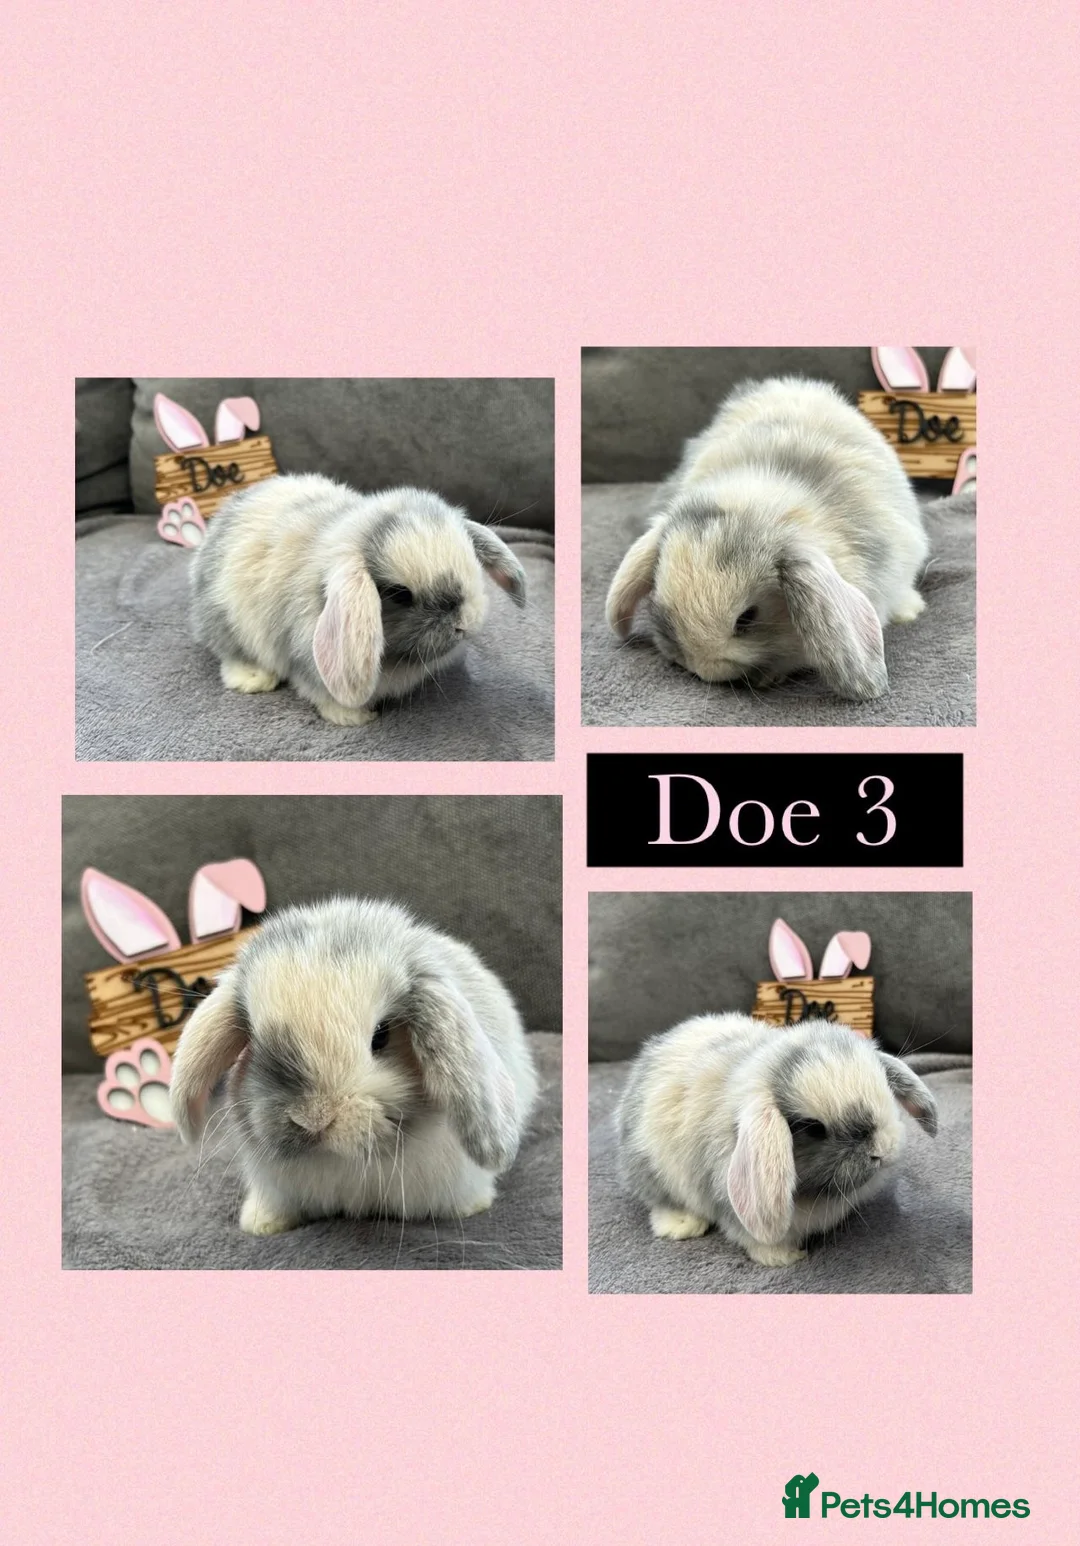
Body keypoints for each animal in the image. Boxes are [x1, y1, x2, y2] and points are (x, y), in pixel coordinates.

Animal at [189, 473, 526, 725]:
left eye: (471, 560)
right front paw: (356, 717)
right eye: (399, 594)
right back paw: (252, 678)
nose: (465, 624)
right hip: (226, 623)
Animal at [617, 1012, 937, 1267]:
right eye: (813, 1128)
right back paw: (681, 1225)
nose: (884, 1150)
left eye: (884, 1088)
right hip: (653, 1172)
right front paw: (786, 1258)